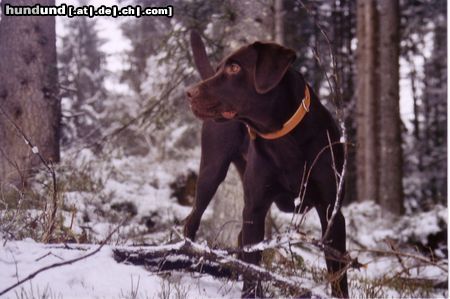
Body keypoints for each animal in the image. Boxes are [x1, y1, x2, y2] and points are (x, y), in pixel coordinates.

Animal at [183, 39, 348, 298]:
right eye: (220, 68)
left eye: (234, 68)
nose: (189, 93)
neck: (284, 139)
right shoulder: (255, 207)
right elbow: (253, 267)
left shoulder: (332, 211)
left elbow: (339, 277)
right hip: (211, 171)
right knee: (192, 221)